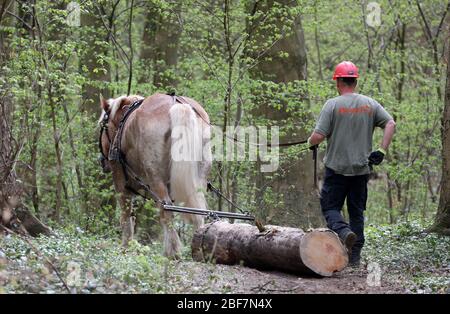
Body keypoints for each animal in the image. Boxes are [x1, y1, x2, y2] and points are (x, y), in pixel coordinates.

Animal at [98, 92, 211, 258]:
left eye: (102, 126)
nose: (102, 162)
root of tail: (177, 105)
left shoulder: (120, 181)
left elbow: (126, 216)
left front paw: (126, 246)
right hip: (199, 176)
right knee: (198, 209)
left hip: (155, 178)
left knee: (166, 210)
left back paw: (173, 251)